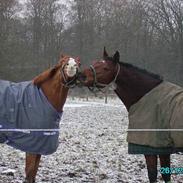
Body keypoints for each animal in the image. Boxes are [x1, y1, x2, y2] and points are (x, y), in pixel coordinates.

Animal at [0, 54, 80, 183]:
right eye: (63, 61)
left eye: (78, 63)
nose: (72, 66)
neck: (43, 98)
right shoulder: (32, 145)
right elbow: (29, 173)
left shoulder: (40, 146)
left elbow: (33, 173)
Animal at [77, 48, 183, 182]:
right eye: (95, 63)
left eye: (106, 68)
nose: (81, 76)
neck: (146, 96)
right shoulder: (163, 149)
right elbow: (166, 175)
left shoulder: (149, 148)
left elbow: (153, 175)